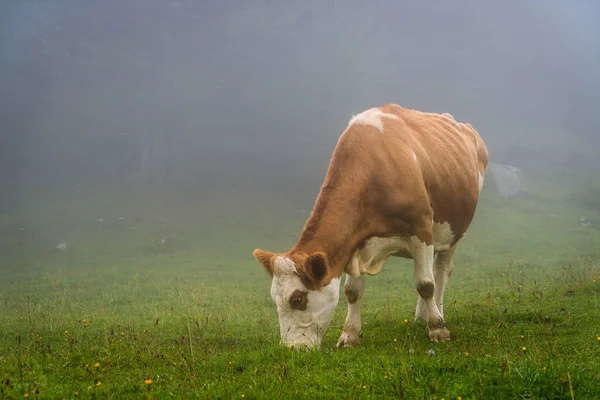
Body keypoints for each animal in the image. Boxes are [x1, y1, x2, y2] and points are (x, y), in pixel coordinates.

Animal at [253, 103, 488, 350]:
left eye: (297, 299)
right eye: (274, 299)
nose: (291, 348)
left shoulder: (421, 228)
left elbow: (425, 284)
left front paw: (438, 329)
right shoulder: (353, 241)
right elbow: (352, 291)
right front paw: (349, 335)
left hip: (454, 231)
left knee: (441, 271)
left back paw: (437, 313)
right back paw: (421, 315)